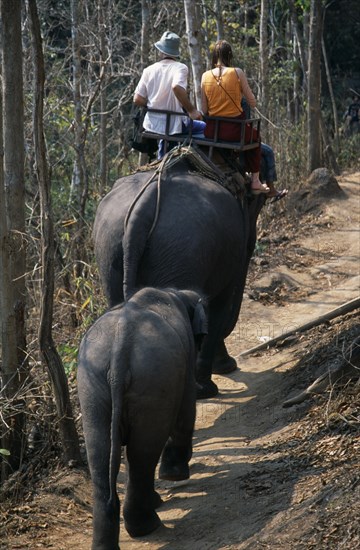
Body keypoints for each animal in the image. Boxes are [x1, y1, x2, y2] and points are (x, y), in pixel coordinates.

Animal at [79, 288, 208, 550]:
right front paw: (175, 475)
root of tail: (119, 348)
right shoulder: (187, 356)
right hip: (154, 377)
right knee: (143, 453)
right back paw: (147, 526)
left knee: (101, 455)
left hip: (92, 388)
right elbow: (187, 406)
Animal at [94, 148, 266, 396]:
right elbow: (217, 307)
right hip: (181, 249)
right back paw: (195, 389)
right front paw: (215, 379)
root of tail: (143, 208)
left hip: (109, 247)